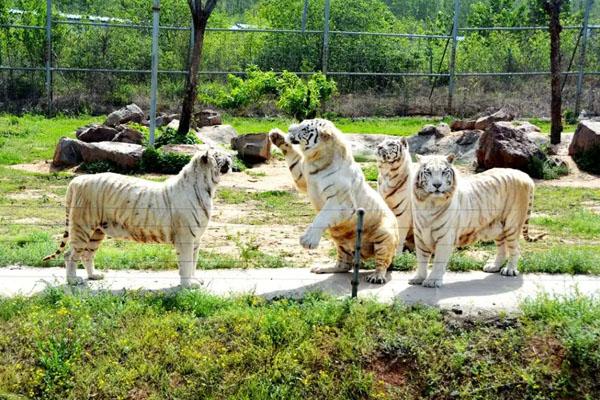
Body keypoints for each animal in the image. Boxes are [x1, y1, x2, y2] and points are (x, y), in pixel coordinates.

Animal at [43, 148, 231, 286]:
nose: (231, 155)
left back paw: (94, 276)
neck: (208, 187)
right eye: (218, 154)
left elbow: (193, 261)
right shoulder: (185, 237)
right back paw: (73, 280)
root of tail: (76, 181)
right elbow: (186, 263)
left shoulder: (196, 238)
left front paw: (195, 280)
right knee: (70, 255)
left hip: (97, 231)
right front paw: (188, 286)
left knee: (87, 254)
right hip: (83, 227)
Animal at [268, 119, 398, 284]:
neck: (316, 160)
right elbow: (294, 159)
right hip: (340, 241)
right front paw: (277, 136)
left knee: (383, 262)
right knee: (344, 265)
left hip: (384, 235)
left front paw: (308, 241)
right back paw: (322, 268)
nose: (290, 128)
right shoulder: (303, 177)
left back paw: (376, 276)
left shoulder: (340, 204)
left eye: (304, 128)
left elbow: (321, 217)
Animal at [412, 155, 544, 290]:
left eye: (444, 172)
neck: (429, 204)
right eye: (428, 172)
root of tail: (525, 175)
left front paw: (432, 281)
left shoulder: (445, 237)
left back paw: (510, 270)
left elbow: (438, 261)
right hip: (498, 227)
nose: (437, 185)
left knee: (515, 249)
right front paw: (418, 278)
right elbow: (421, 259)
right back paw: (494, 267)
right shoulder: (420, 236)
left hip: (512, 225)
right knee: (502, 248)